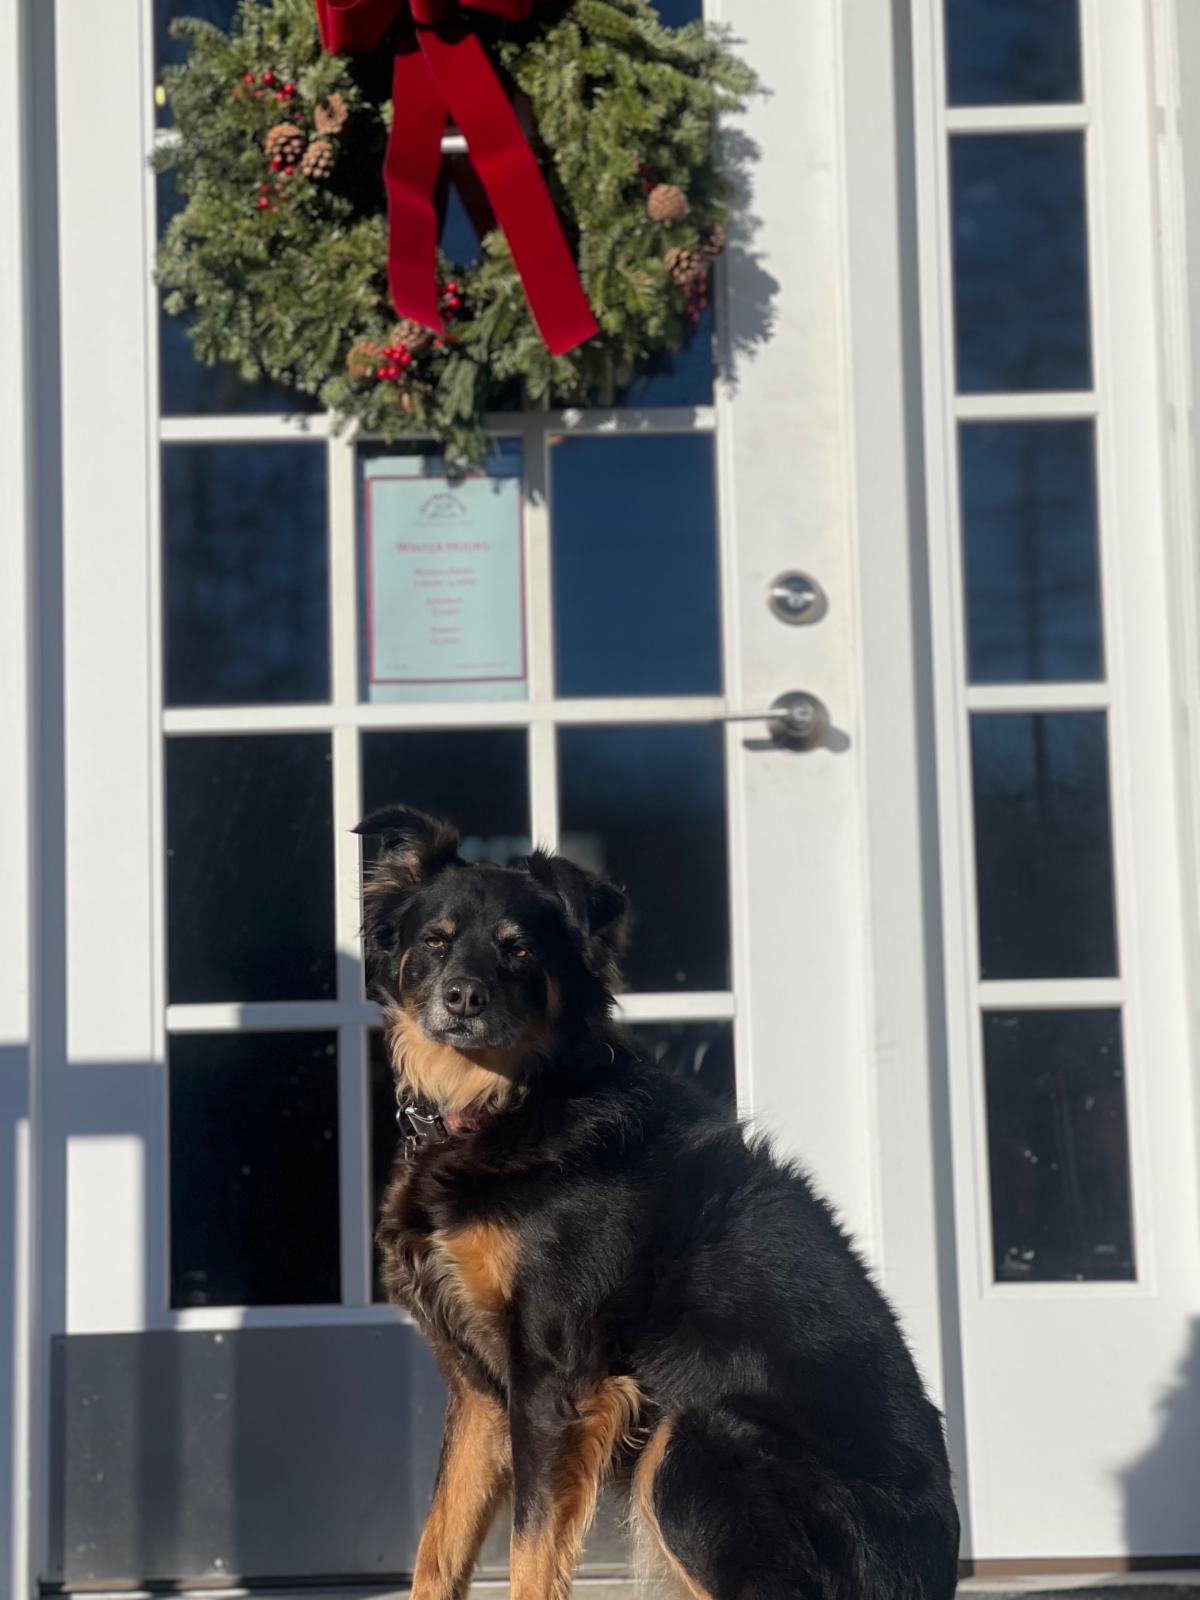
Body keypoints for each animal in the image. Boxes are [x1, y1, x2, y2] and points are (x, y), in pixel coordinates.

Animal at [358, 804, 960, 1600]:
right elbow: (438, 1546)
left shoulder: (557, 1378)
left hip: (692, 1442)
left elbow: (530, 1551)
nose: (462, 998)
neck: (508, 1102)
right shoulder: (483, 1389)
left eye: (519, 951)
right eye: (436, 940)